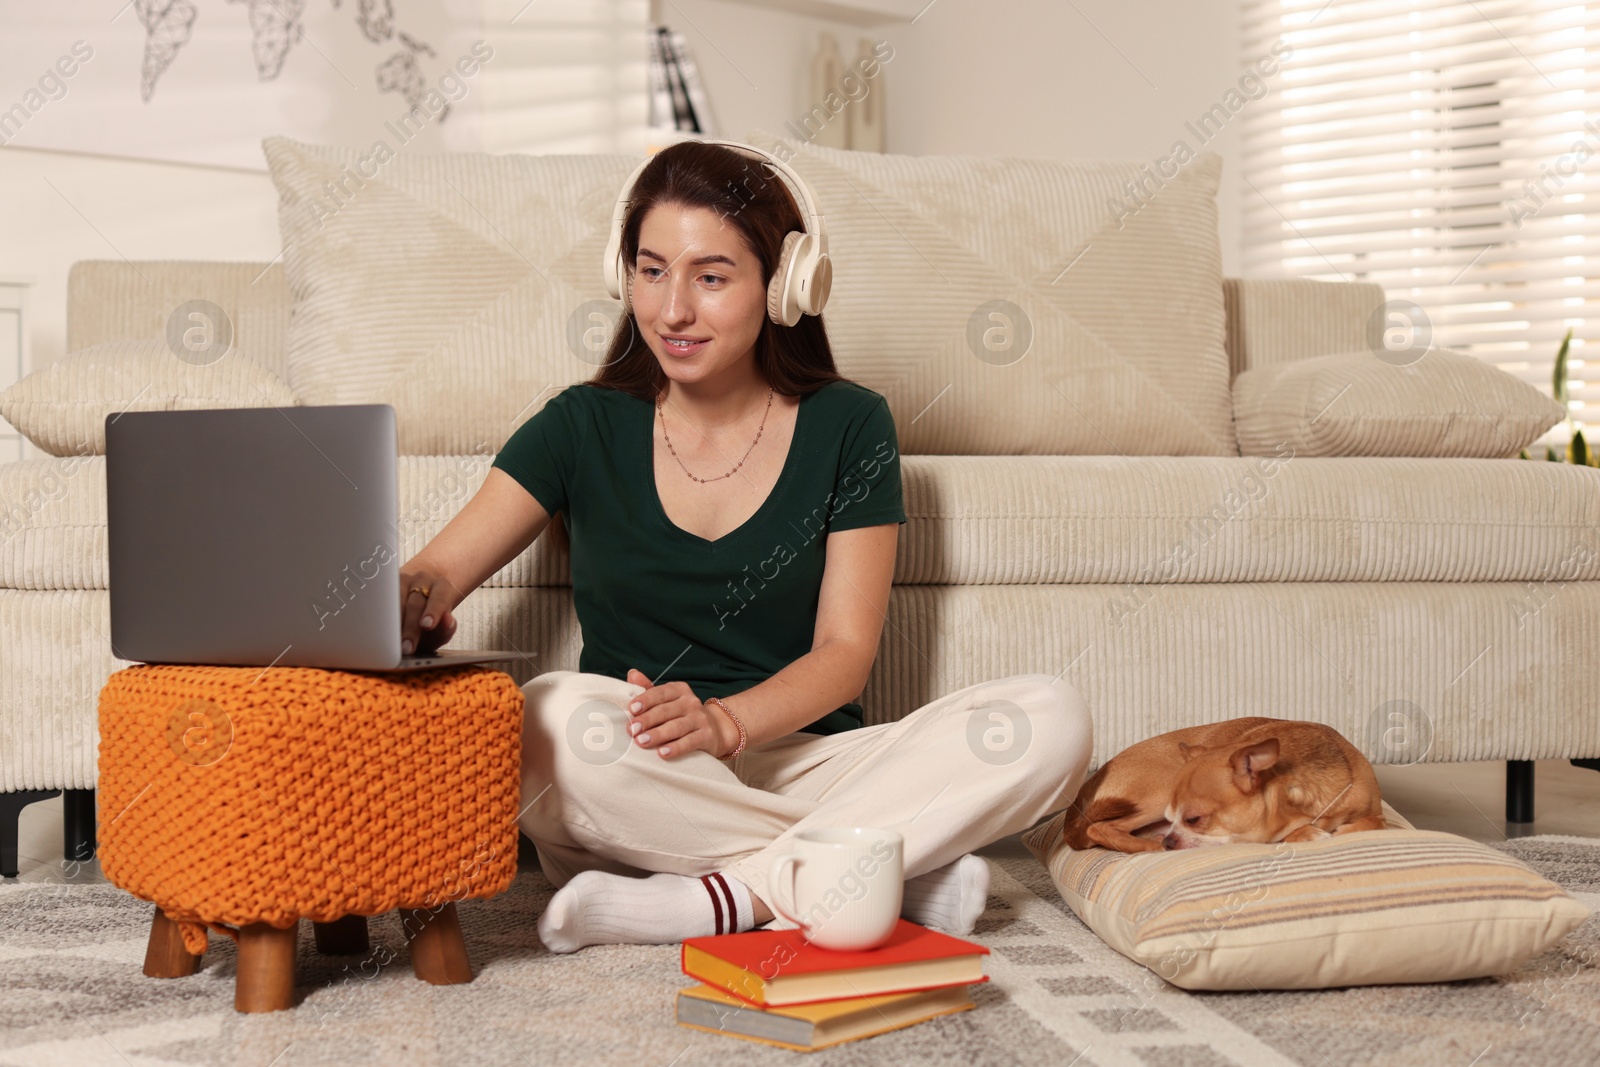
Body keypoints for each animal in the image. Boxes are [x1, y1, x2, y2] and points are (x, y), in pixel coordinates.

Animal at [1056, 716, 1382, 851]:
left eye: (1195, 819)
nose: (1170, 839)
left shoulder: (1375, 813)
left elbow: (1371, 823)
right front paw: (1307, 833)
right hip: (1157, 793)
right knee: (1099, 829)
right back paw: (1149, 846)